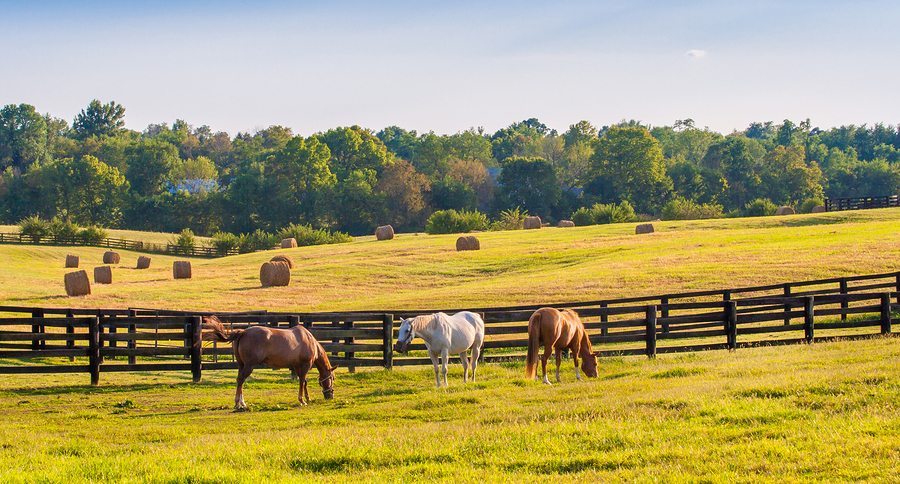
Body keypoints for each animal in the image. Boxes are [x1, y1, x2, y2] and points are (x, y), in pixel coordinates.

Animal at [202, 316, 338, 411]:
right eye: (332, 378)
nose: (330, 396)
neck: (309, 341)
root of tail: (243, 332)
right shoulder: (304, 366)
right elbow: (302, 382)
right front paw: (302, 400)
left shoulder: (297, 367)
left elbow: (304, 382)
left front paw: (307, 398)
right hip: (249, 366)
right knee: (241, 380)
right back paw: (239, 404)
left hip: (241, 365)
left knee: (239, 380)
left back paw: (241, 403)